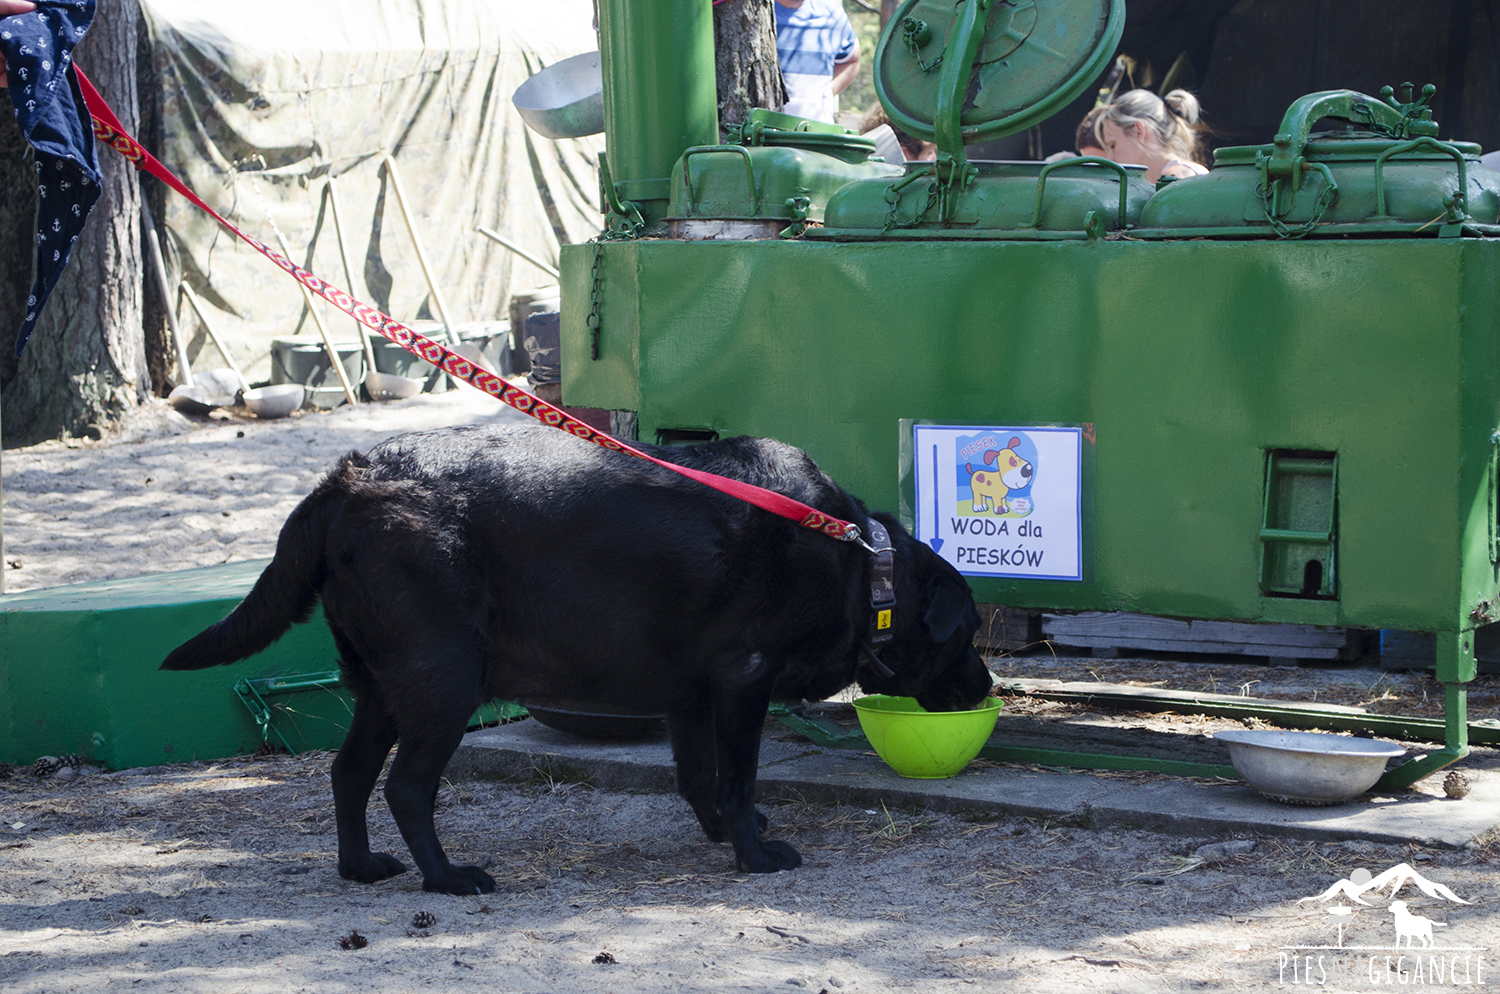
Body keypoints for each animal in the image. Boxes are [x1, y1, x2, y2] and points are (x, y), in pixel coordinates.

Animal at [161, 422, 996, 899]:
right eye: (966, 638)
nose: (986, 685)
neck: (859, 561)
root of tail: (350, 477)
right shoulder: (743, 680)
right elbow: (737, 776)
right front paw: (756, 853)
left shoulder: (691, 695)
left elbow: (700, 778)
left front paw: (725, 833)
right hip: (444, 681)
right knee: (404, 787)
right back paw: (448, 879)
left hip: (383, 684)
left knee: (348, 773)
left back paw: (361, 868)